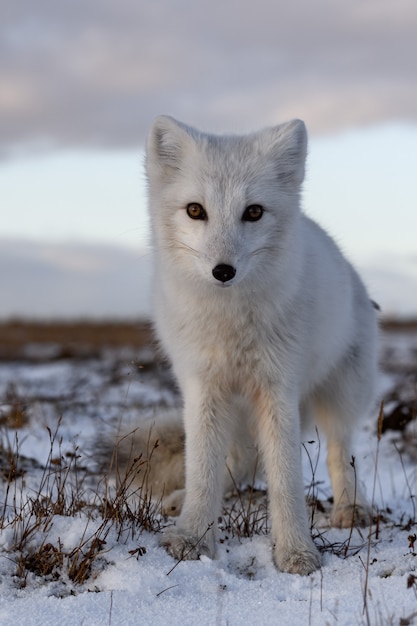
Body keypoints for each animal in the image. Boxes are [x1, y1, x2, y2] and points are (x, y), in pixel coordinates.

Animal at [145, 114, 376, 572]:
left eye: (253, 212)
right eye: (195, 210)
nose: (223, 271)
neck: (231, 322)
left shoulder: (278, 388)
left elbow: (285, 477)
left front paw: (296, 552)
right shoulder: (203, 387)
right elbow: (203, 468)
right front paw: (193, 536)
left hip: (339, 396)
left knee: (340, 453)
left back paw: (349, 509)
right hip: (234, 408)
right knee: (240, 461)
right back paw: (185, 498)